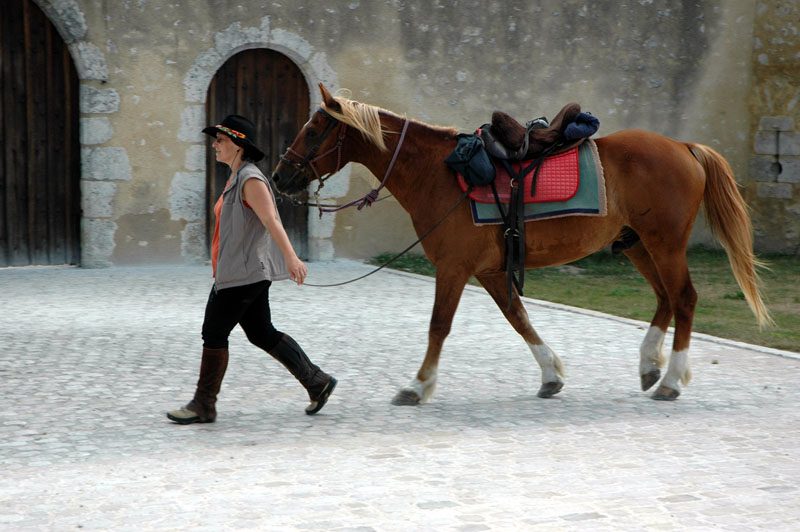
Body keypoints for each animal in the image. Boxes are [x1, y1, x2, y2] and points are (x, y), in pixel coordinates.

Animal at [272, 85, 772, 406]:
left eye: (313, 131)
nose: (279, 176)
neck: (439, 173)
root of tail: (683, 147)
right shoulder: (491, 271)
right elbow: (519, 318)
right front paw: (550, 374)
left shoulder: (454, 268)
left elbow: (438, 327)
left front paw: (418, 386)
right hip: (636, 244)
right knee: (666, 298)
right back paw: (651, 364)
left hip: (663, 243)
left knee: (683, 298)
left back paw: (671, 379)